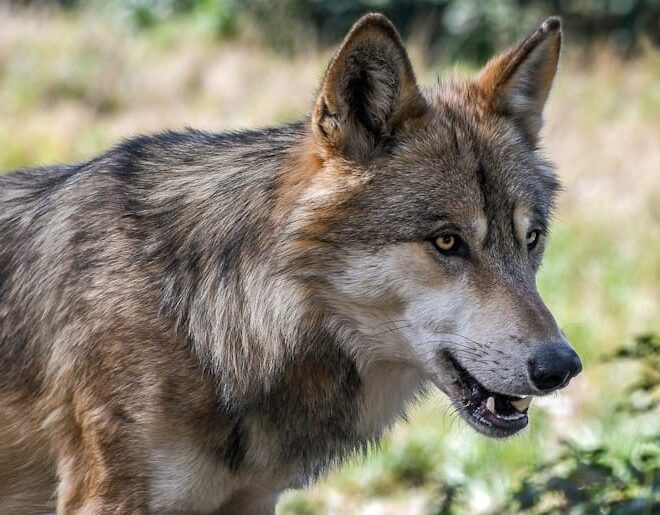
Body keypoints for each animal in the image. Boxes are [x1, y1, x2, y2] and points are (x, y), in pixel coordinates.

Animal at [0, 13, 582, 514]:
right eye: (446, 242)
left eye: (531, 239)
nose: (561, 366)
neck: (204, 320)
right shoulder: (105, 498)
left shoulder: (253, 501)